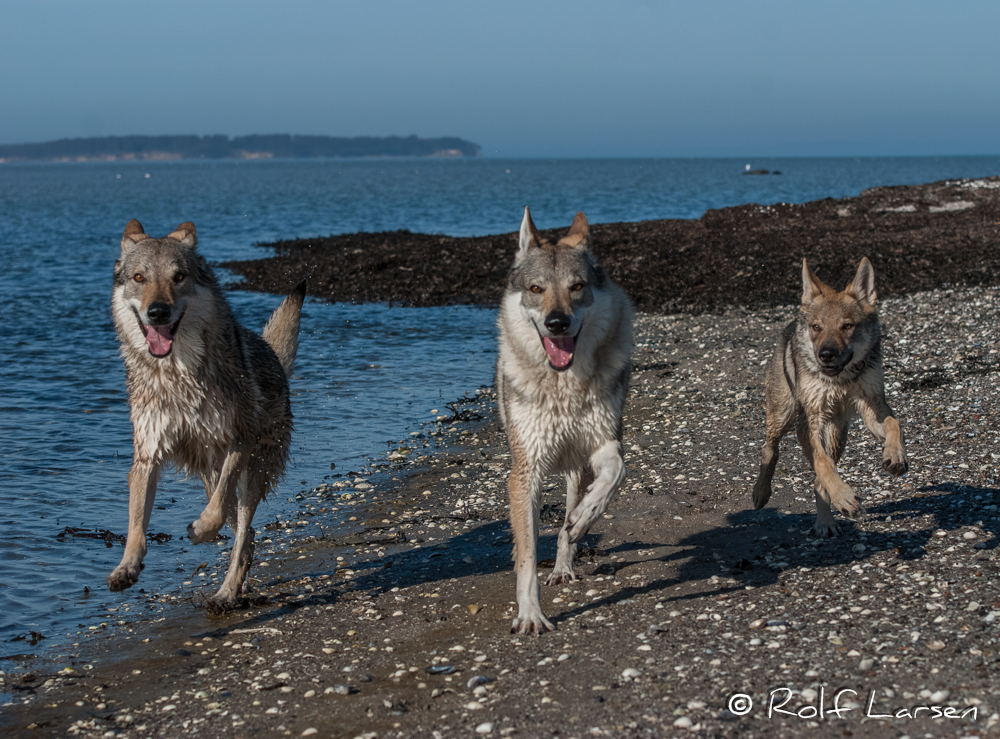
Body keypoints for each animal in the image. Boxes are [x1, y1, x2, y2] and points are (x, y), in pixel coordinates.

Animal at [108, 220, 304, 612]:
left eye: (179, 277)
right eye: (139, 278)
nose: (157, 312)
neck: (175, 372)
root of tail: (273, 355)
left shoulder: (239, 439)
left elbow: (212, 518)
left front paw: (198, 531)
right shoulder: (147, 456)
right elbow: (136, 525)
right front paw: (127, 567)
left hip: (251, 476)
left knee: (242, 532)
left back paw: (226, 593)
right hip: (212, 477)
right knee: (249, 534)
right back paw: (235, 588)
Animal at [494, 208, 628, 636]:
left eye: (577, 287)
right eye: (536, 289)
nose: (556, 323)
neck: (562, 386)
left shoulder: (602, 443)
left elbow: (616, 472)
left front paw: (586, 516)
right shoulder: (526, 471)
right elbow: (526, 556)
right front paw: (530, 616)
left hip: (577, 469)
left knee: (566, 528)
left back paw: (565, 564)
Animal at [752, 260, 912, 536]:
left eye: (847, 326)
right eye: (817, 327)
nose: (825, 354)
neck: (842, 380)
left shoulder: (873, 407)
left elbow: (895, 424)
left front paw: (895, 455)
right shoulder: (812, 420)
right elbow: (822, 463)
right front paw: (845, 497)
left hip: (837, 434)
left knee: (819, 481)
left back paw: (825, 522)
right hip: (784, 416)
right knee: (770, 451)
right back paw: (761, 493)